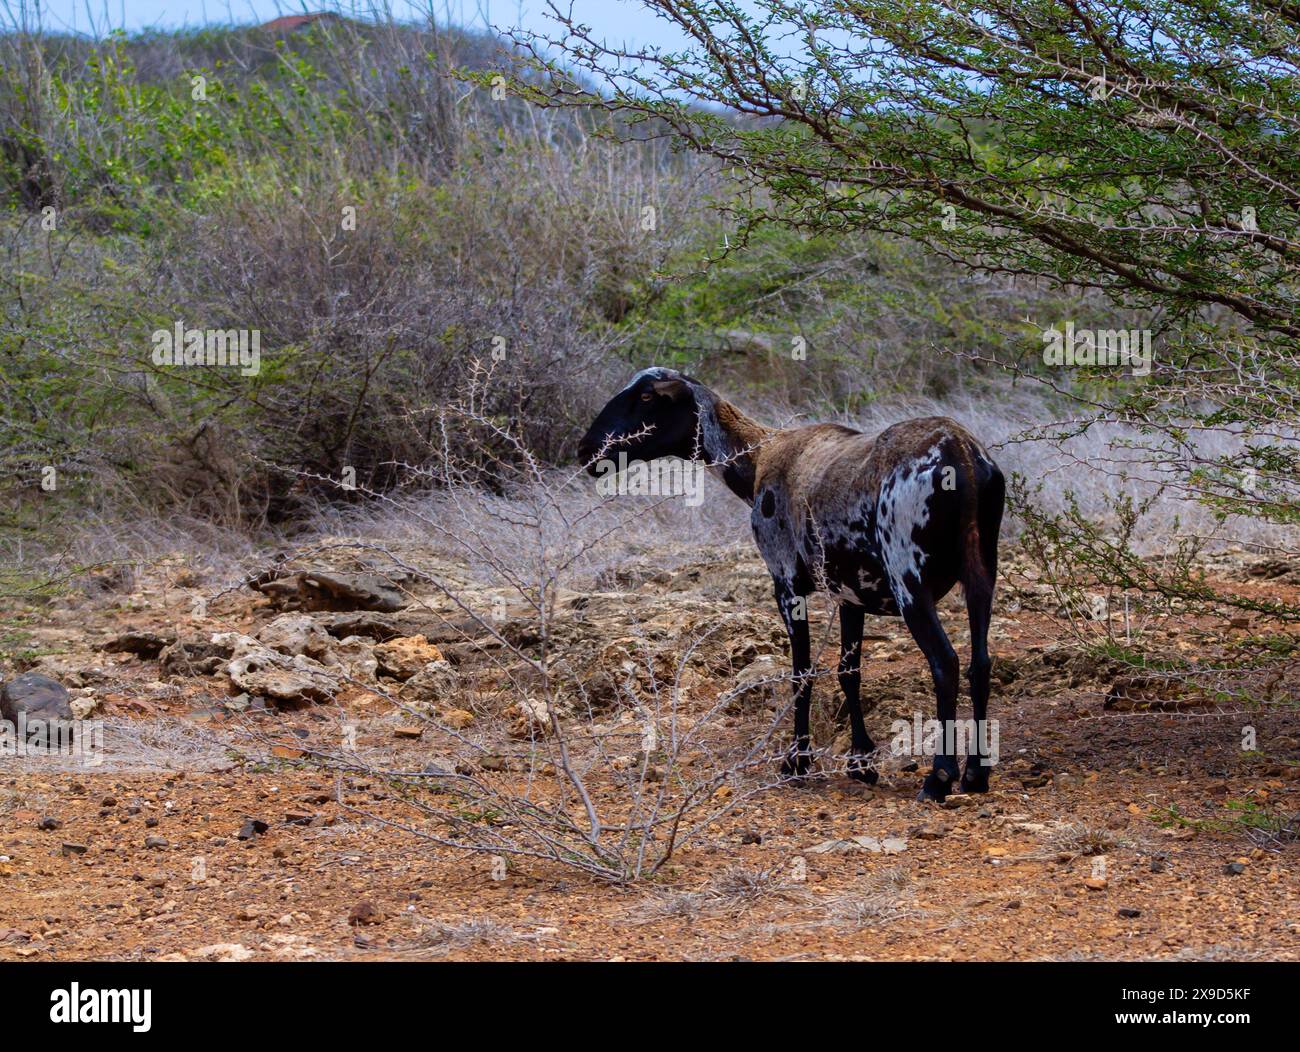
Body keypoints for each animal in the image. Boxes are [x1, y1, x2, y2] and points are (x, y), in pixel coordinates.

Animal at [579, 364, 1003, 801]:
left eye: (648, 396)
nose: (587, 450)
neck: (759, 459)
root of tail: (962, 455)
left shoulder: (785, 581)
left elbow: (801, 673)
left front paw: (797, 761)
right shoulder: (849, 596)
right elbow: (848, 672)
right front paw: (861, 762)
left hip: (909, 579)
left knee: (945, 663)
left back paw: (939, 777)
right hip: (982, 570)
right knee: (980, 664)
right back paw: (976, 773)